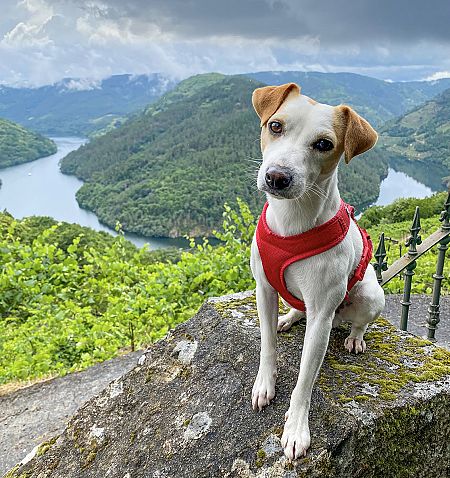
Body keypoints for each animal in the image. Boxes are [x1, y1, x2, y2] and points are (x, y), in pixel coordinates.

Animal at [250, 84, 384, 462]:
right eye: (275, 126)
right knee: (298, 308)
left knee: (359, 321)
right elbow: (266, 345)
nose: (276, 176)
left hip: (370, 295)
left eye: (324, 144)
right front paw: (264, 384)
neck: (291, 223)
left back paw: (355, 337)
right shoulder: (263, 289)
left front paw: (296, 429)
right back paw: (289, 317)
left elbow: (304, 380)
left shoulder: (322, 316)